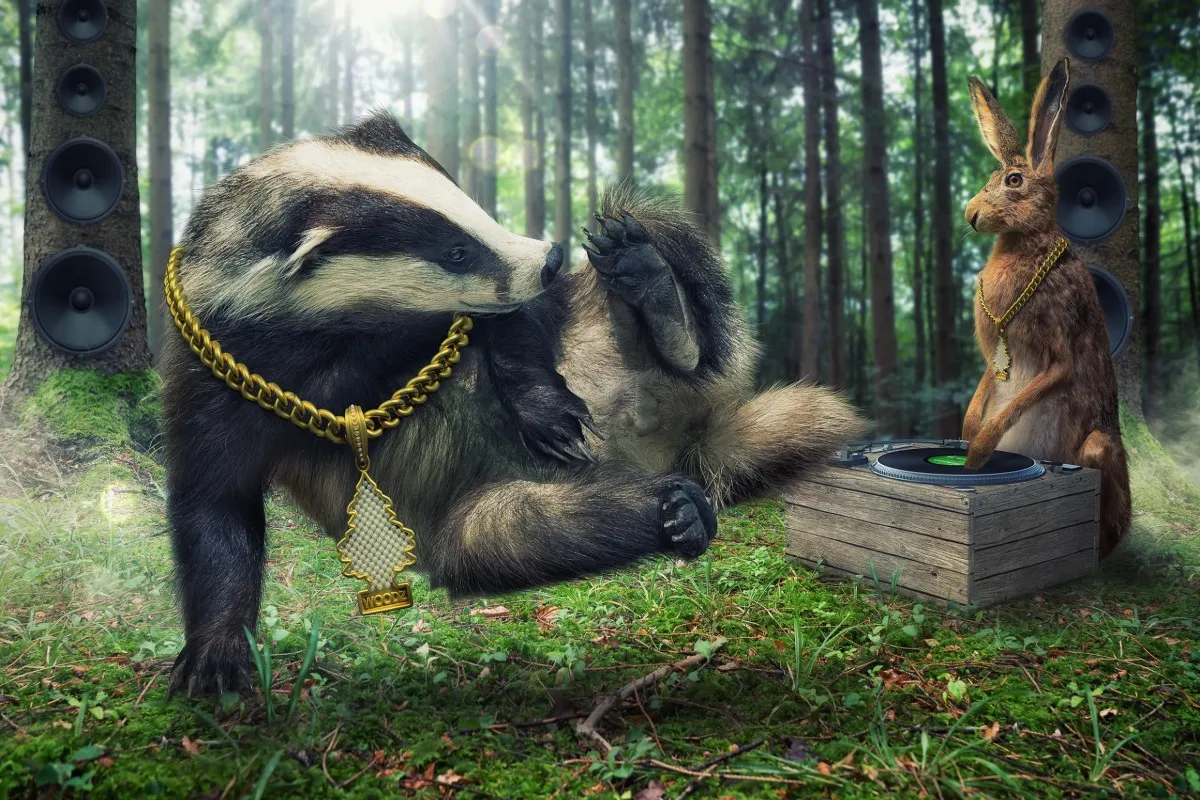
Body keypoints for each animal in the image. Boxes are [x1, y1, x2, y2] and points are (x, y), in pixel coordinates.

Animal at [961, 56, 1131, 558]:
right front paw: (965, 435)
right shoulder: (994, 359)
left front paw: (977, 452)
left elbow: (1025, 397)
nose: (970, 214)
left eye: (1013, 181)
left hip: (1096, 451)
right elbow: (984, 390)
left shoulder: (1059, 351)